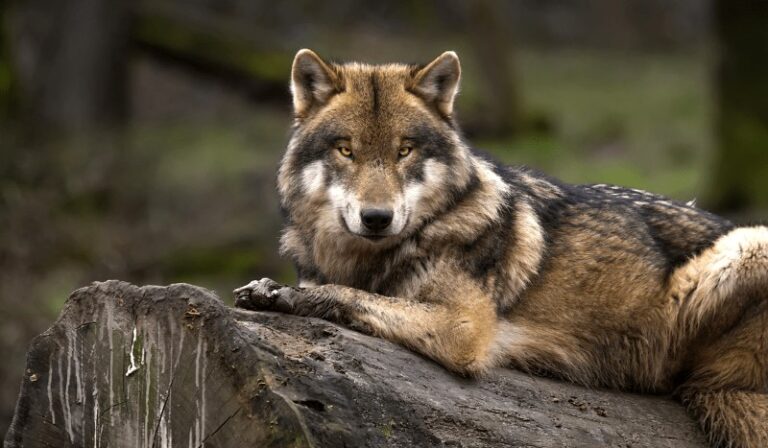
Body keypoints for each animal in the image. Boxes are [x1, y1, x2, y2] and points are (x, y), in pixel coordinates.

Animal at [234, 49, 768, 447]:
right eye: (346, 150)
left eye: (405, 150)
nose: (377, 218)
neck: (365, 259)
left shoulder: (463, 328)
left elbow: (350, 297)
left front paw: (284, 296)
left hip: (747, 247)